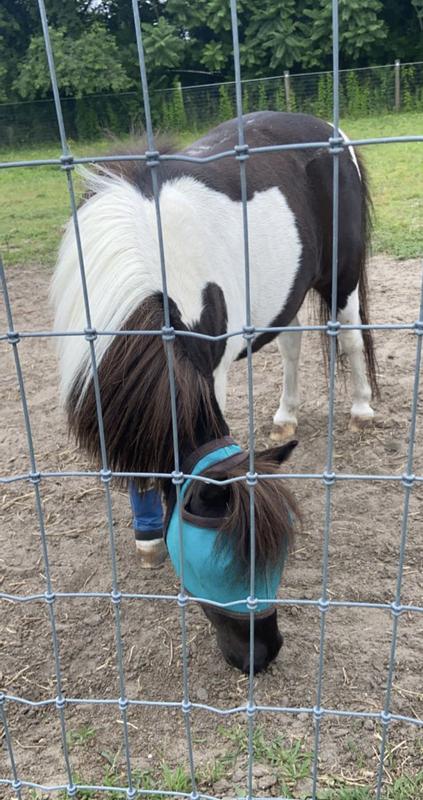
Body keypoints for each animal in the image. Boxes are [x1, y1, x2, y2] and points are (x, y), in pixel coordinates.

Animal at [52, 111, 377, 674]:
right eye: (222, 565)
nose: (263, 654)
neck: (143, 252)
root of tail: (329, 130)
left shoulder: (212, 370)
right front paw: (147, 536)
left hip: (343, 278)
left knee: (353, 337)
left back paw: (361, 409)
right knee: (292, 345)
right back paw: (286, 415)